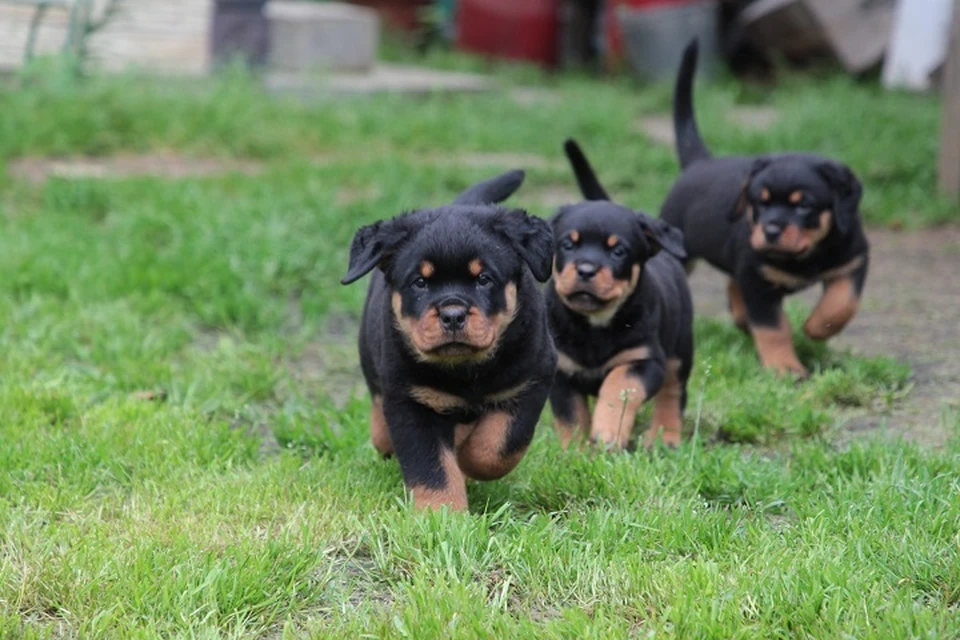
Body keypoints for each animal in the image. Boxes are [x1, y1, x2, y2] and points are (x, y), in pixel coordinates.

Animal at [344, 169, 556, 510]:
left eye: (484, 279)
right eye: (420, 282)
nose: (453, 314)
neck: (466, 370)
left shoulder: (531, 380)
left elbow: (499, 446)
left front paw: (468, 463)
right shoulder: (412, 400)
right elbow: (432, 468)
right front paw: (442, 513)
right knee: (380, 422)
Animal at [544, 140, 692, 450]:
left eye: (618, 251)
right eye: (568, 245)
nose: (586, 269)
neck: (594, 324)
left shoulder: (643, 361)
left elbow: (619, 387)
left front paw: (608, 433)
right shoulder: (560, 371)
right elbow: (570, 416)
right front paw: (574, 452)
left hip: (680, 349)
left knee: (673, 393)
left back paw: (665, 437)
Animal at [660, 38, 872, 380]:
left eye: (804, 205)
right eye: (761, 201)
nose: (771, 230)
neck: (806, 257)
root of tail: (699, 163)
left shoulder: (853, 259)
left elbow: (843, 302)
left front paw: (818, 327)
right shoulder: (756, 276)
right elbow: (773, 328)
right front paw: (785, 367)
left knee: (732, 282)